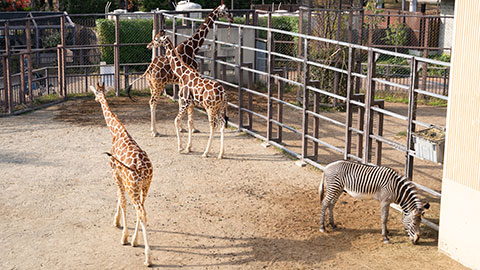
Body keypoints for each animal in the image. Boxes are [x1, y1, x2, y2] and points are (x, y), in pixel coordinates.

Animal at [90, 81, 154, 266]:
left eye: (96, 92)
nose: (95, 99)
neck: (117, 132)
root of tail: (143, 169)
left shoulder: (114, 171)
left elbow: (122, 200)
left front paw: (124, 236)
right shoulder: (121, 176)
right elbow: (120, 197)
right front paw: (117, 223)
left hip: (134, 187)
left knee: (140, 211)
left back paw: (147, 257)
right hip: (145, 186)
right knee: (143, 210)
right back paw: (135, 241)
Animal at [126, 4, 233, 137]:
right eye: (226, 10)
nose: (232, 18)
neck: (193, 47)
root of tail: (149, 67)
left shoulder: (181, 82)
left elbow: (181, 103)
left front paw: (183, 128)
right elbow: (188, 105)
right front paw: (193, 128)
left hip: (151, 85)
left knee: (151, 102)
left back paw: (153, 129)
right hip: (159, 85)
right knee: (152, 102)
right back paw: (155, 131)